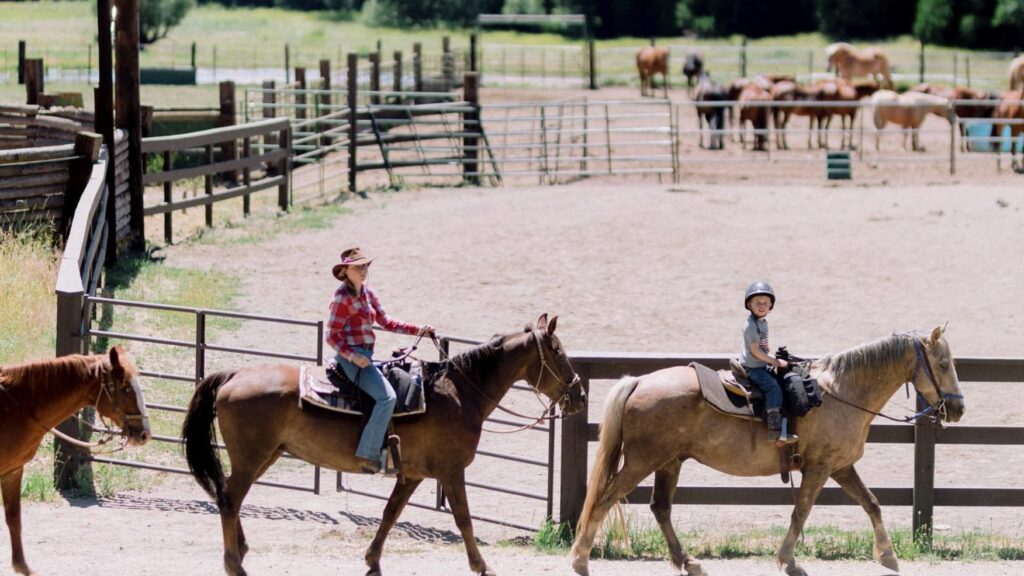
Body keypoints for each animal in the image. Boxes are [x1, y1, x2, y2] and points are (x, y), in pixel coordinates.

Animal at [0, 344, 150, 573]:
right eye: (125, 389)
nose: (144, 434)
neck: (15, 407)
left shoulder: (12, 471)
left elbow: (13, 517)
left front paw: (22, 567)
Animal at [182, 313, 585, 573]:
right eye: (559, 351)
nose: (580, 395)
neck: (459, 393)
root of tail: (233, 374)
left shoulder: (413, 475)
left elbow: (391, 514)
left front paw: (372, 561)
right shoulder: (451, 471)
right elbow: (464, 519)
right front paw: (482, 566)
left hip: (265, 455)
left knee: (229, 496)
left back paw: (241, 550)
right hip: (252, 456)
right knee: (230, 499)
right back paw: (234, 564)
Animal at [573, 325, 962, 573]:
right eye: (943, 364)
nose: (958, 409)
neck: (840, 393)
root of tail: (638, 382)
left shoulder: (840, 467)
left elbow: (872, 503)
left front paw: (888, 556)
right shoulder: (819, 469)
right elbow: (801, 512)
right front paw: (788, 561)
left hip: (669, 462)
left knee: (660, 509)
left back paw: (689, 562)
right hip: (642, 461)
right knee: (604, 500)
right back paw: (580, 559)